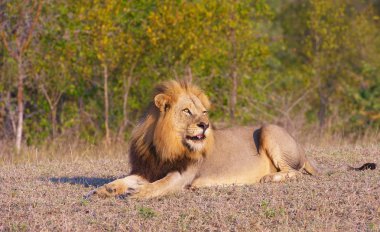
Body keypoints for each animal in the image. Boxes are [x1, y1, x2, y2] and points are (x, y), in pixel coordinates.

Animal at [85, 80, 374, 199]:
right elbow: (123, 180)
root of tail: (302, 147)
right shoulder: (147, 170)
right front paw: (103, 190)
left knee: (296, 172)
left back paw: (269, 178)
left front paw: (138, 194)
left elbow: (160, 185)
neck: (164, 144)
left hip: (269, 130)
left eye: (203, 112)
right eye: (187, 111)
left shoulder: (182, 175)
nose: (205, 125)